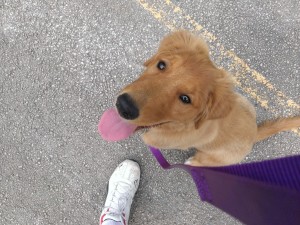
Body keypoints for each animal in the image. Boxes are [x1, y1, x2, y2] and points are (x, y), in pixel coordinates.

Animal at [115, 30, 300, 165]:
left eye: (185, 99)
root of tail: (254, 134)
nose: (124, 106)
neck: (176, 125)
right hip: (244, 102)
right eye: (161, 65)